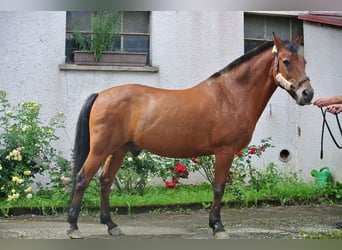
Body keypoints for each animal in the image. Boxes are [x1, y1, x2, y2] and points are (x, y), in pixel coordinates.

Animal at [67, 34, 316, 238]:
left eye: (304, 62)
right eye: (286, 61)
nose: (307, 94)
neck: (231, 95)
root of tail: (101, 94)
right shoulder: (224, 151)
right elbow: (218, 186)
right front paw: (217, 227)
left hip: (118, 150)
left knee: (105, 181)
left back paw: (111, 225)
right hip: (100, 149)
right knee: (82, 179)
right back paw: (73, 227)